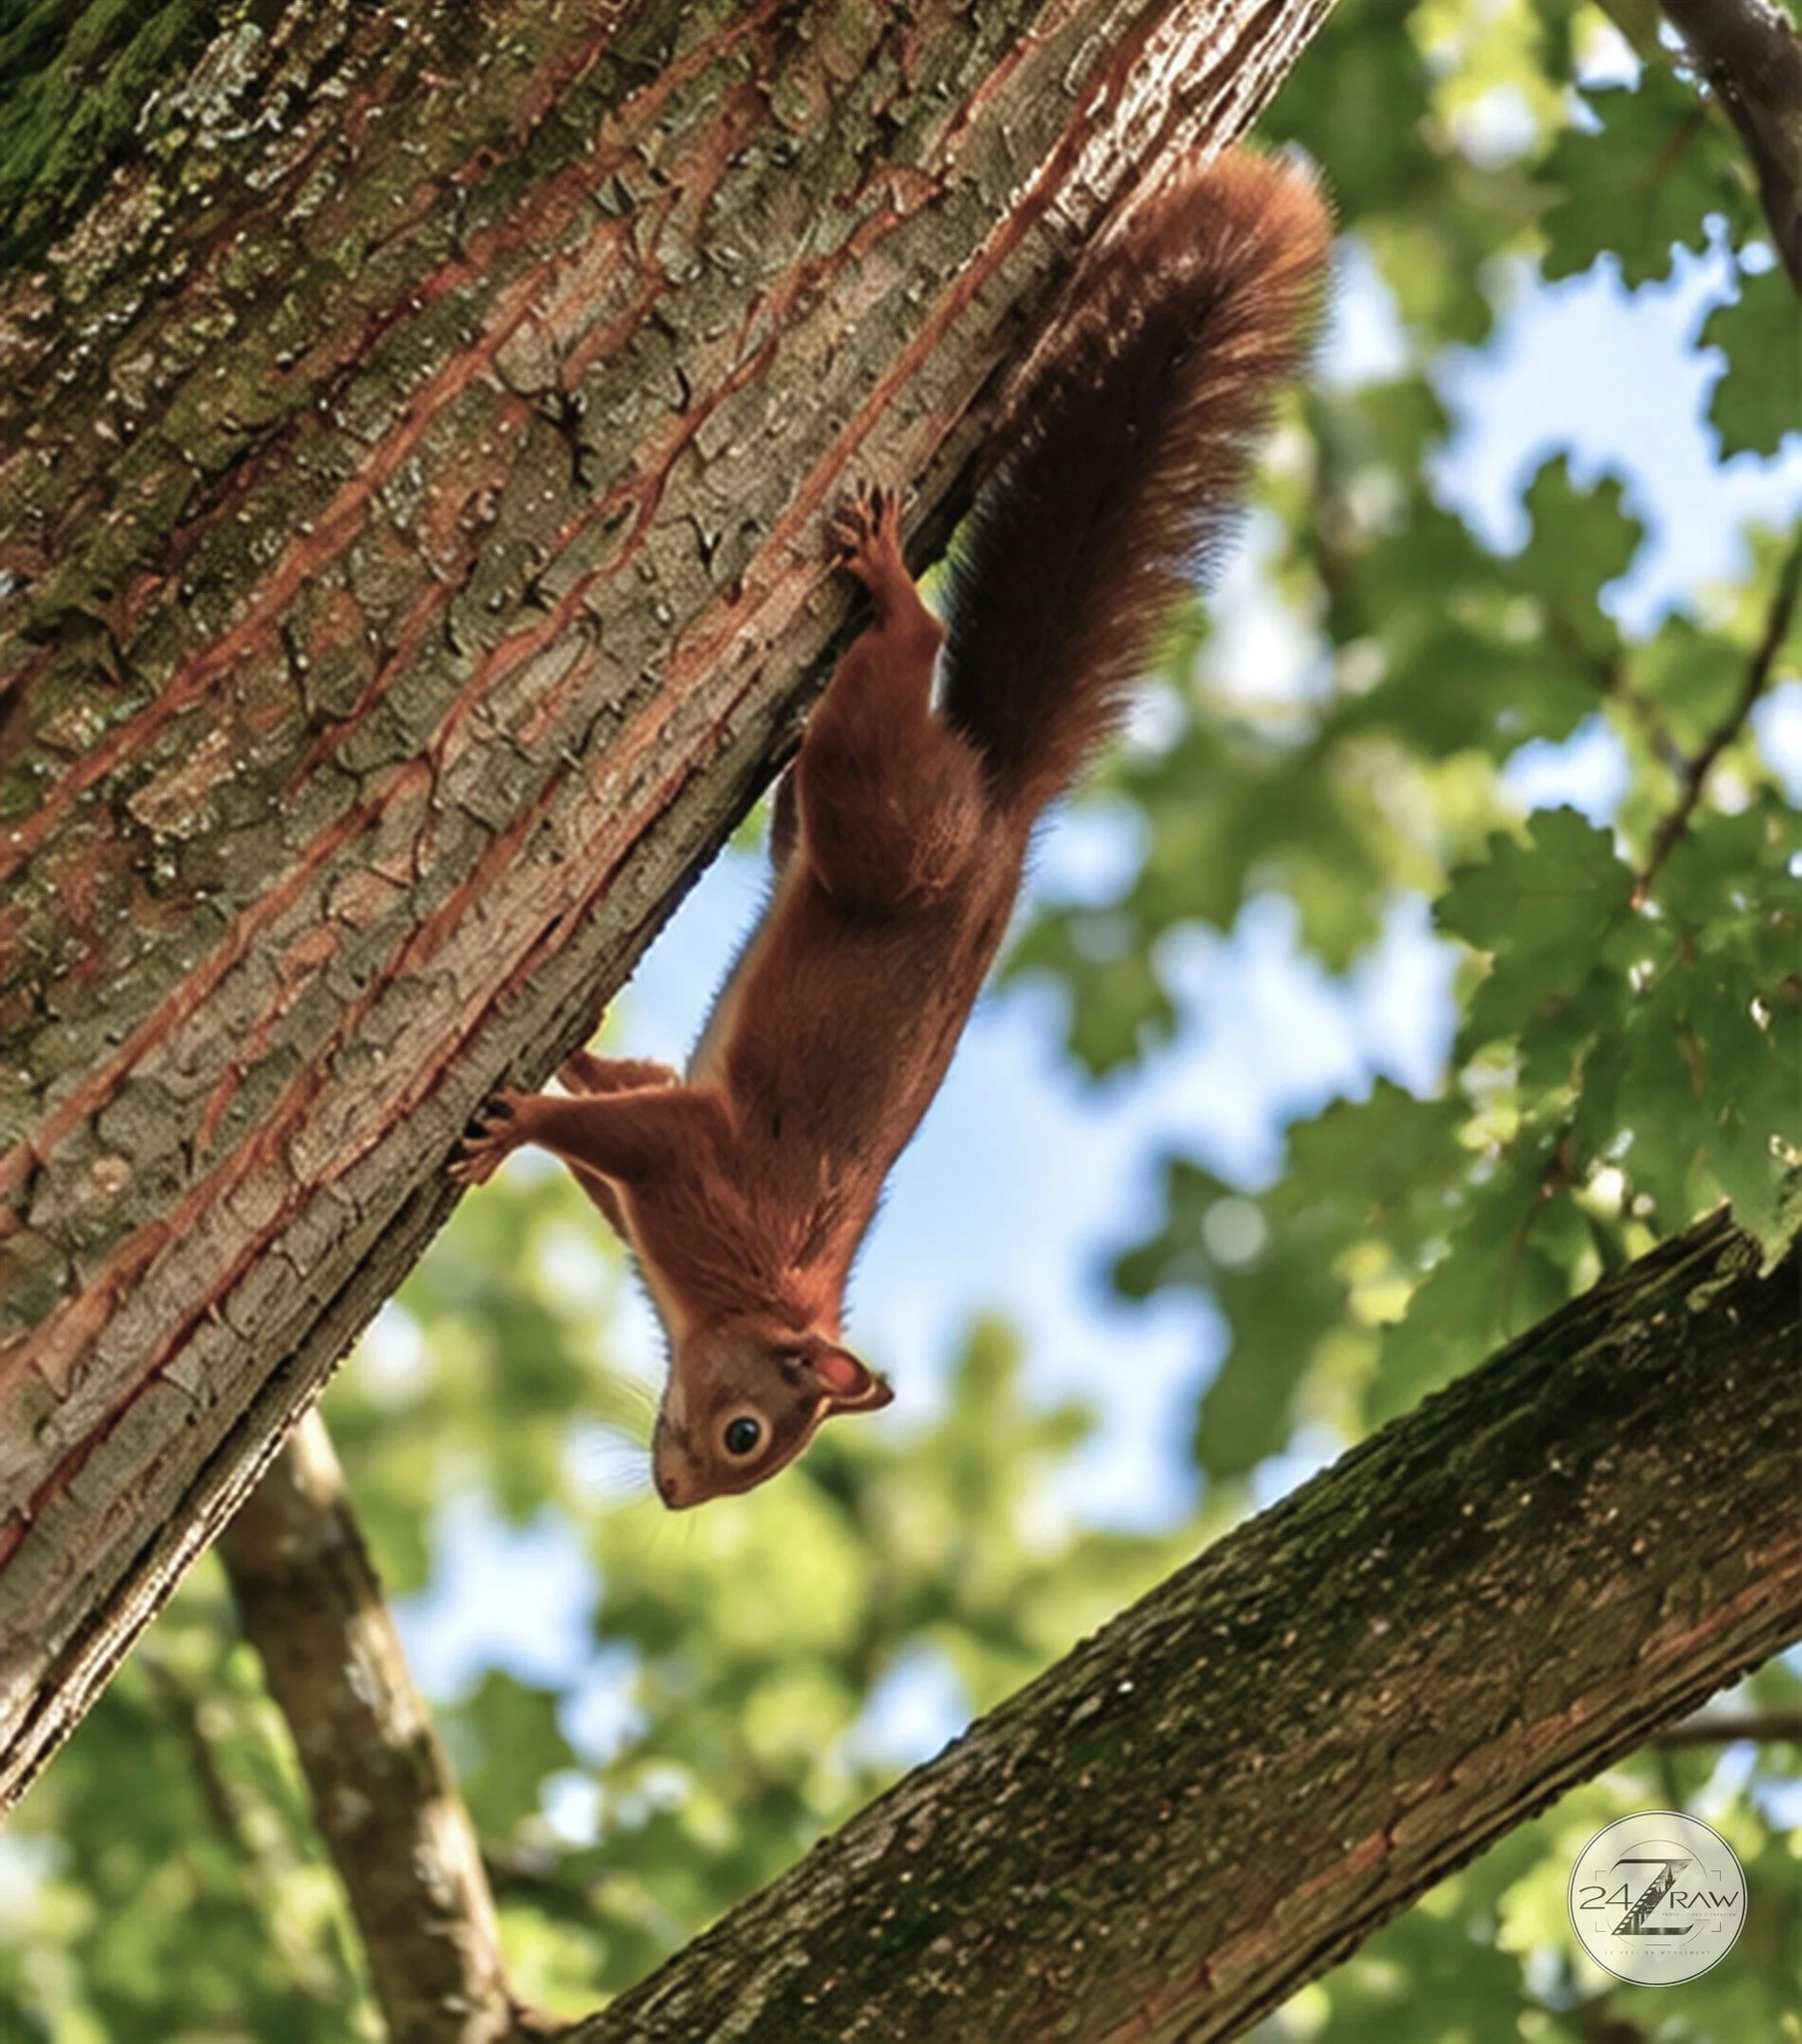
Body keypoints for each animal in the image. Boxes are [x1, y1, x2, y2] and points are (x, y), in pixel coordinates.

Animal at [451, 150, 1331, 1508]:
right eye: (750, 1432)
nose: (676, 1492)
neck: (757, 1289)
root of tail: (1004, 814)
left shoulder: (684, 1169)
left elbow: (622, 1119)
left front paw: (547, 1098)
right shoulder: (704, 1168)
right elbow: (622, 1121)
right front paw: (541, 1109)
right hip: (874, 804)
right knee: (899, 667)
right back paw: (891, 589)